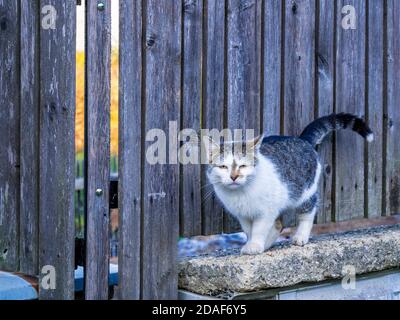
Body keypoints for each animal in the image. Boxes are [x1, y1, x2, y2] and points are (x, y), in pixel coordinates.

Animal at [205, 112, 374, 255]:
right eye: (223, 167)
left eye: (243, 166)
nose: (234, 177)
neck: (241, 193)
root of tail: (302, 140)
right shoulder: (243, 215)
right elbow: (249, 230)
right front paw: (254, 244)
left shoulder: (266, 212)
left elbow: (258, 229)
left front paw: (255, 245)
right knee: (279, 224)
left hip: (305, 194)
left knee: (308, 212)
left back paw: (300, 236)